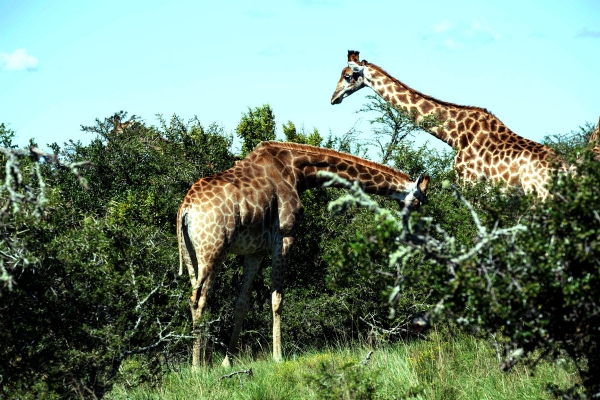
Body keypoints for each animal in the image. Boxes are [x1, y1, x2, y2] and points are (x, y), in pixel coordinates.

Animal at [176, 141, 428, 368]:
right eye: (419, 201)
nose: (416, 230)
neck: (297, 172)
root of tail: (185, 210)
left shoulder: (255, 251)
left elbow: (242, 303)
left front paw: (227, 362)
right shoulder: (286, 236)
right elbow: (277, 298)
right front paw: (278, 357)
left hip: (191, 256)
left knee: (195, 297)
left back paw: (203, 360)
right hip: (214, 249)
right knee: (199, 300)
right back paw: (196, 366)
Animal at [330, 50, 564, 198]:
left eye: (348, 76)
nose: (333, 98)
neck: (456, 135)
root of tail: (566, 168)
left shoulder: (469, 182)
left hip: (540, 195)